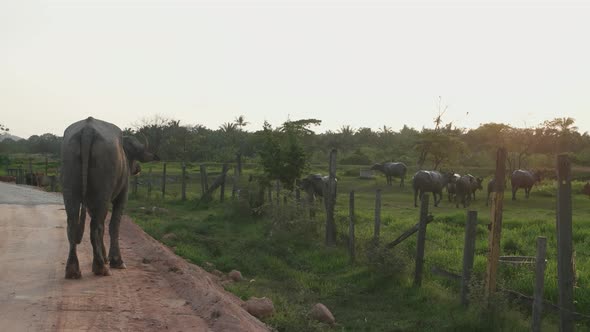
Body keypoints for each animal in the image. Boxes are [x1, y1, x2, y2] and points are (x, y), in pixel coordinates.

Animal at [61, 116, 158, 278]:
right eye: (134, 156)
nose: (138, 168)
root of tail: (88, 129)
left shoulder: (90, 202)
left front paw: (105, 256)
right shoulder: (122, 196)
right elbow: (114, 225)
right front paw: (115, 260)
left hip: (70, 190)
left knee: (73, 224)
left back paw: (73, 269)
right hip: (103, 194)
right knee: (96, 227)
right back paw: (100, 267)